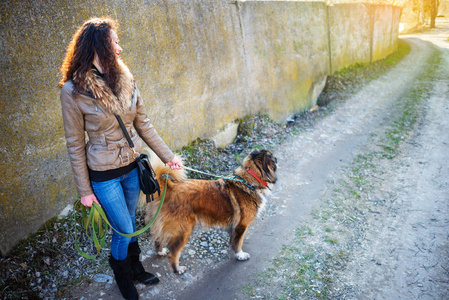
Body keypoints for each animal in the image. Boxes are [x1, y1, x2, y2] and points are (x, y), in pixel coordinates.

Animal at [144, 149, 276, 274]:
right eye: (273, 158)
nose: (277, 158)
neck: (249, 180)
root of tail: (171, 187)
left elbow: (234, 240)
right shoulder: (242, 224)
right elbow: (239, 242)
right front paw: (240, 255)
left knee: (158, 239)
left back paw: (161, 252)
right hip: (183, 230)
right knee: (174, 251)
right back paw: (177, 269)